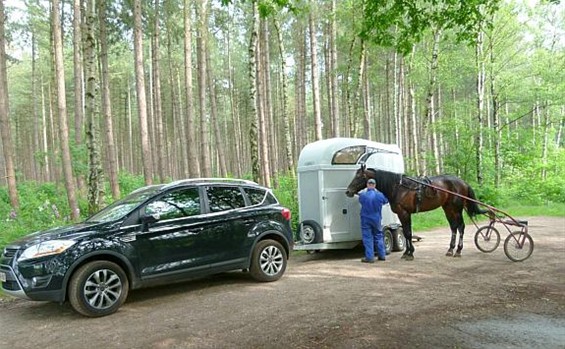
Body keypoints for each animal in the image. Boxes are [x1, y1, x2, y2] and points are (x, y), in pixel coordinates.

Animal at [344, 164, 484, 260]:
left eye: (359, 176)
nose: (348, 191)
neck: (399, 188)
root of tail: (462, 182)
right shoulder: (404, 214)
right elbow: (407, 233)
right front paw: (407, 252)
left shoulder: (404, 213)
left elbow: (407, 233)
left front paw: (409, 253)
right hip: (448, 208)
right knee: (454, 227)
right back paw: (450, 250)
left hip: (456, 209)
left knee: (461, 227)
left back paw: (458, 251)